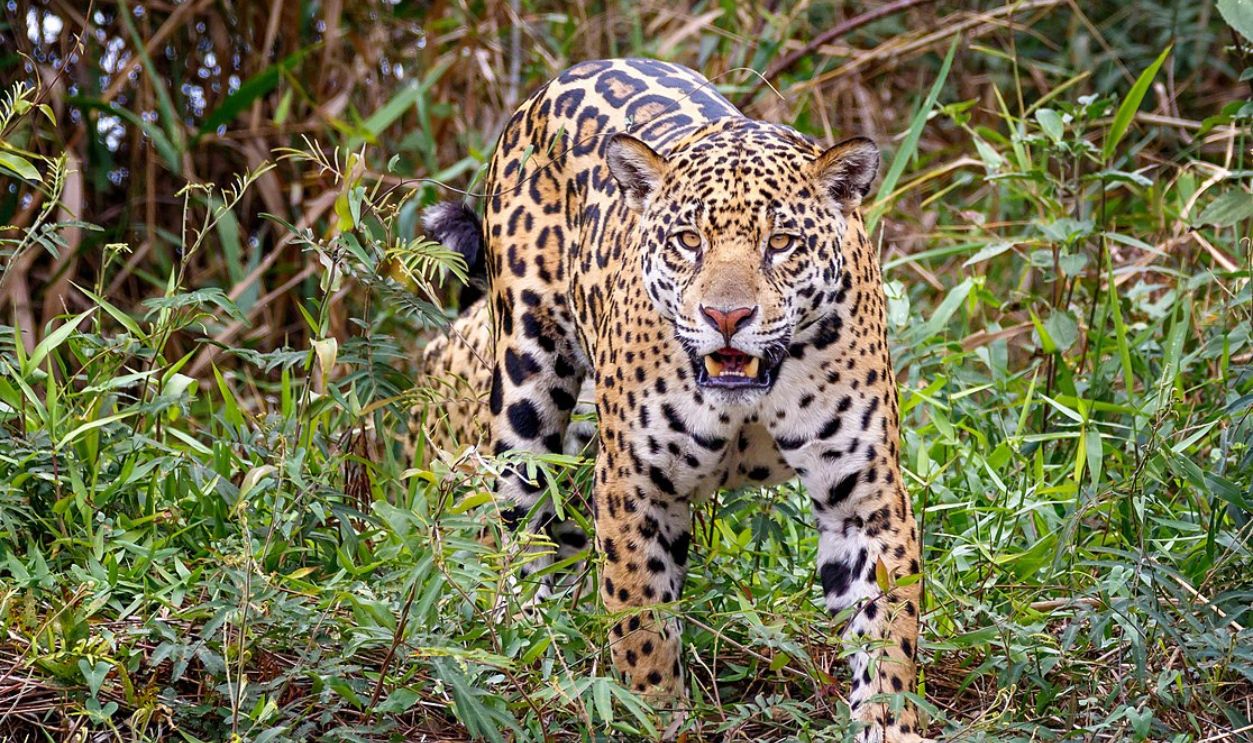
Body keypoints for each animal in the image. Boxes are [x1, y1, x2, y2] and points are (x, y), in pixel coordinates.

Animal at [419, 58, 924, 742]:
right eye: (687, 240)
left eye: (782, 243)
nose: (726, 317)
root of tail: (574, 71)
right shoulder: (634, 486)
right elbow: (642, 626)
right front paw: (654, 715)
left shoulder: (864, 496)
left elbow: (887, 632)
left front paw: (889, 723)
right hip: (527, 387)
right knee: (516, 528)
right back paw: (523, 648)